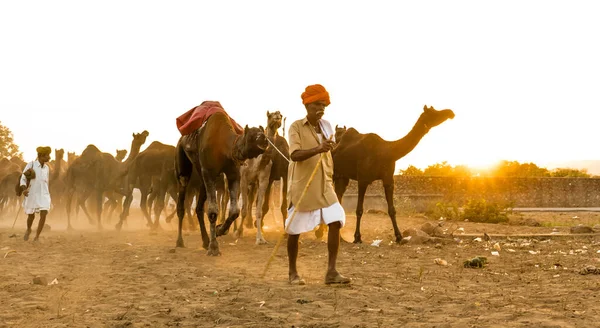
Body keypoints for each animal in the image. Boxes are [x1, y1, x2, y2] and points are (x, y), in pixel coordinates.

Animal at [173, 111, 268, 255]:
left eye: (261, 132)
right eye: (252, 134)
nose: (264, 139)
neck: (225, 146)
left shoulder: (233, 174)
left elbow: (234, 211)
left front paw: (219, 230)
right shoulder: (209, 172)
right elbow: (213, 210)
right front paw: (214, 247)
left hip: (202, 176)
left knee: (199, 207)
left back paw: (205, 241)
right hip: (183, 161)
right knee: (182, 200)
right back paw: (180, 241)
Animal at [237, 110, 288, 243]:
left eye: (280, 115)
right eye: (270, 115)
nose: (278, 115)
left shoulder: (267, 178)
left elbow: (261, 208)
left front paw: (260, 236)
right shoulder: (244, 179)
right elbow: (244, 209)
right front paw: (239, 232)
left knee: (251, 199)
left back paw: (250, 223)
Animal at [332, 105, 454, 243]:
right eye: (433, 112)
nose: (450, 112)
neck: (387, 151)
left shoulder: (388, 179)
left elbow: (392, 210)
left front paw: (399, 236)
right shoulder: (363, 179)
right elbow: (359, 210)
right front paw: (357, 238)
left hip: (343, 176)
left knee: (338, 197)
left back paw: (339, 237)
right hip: (334, 173)